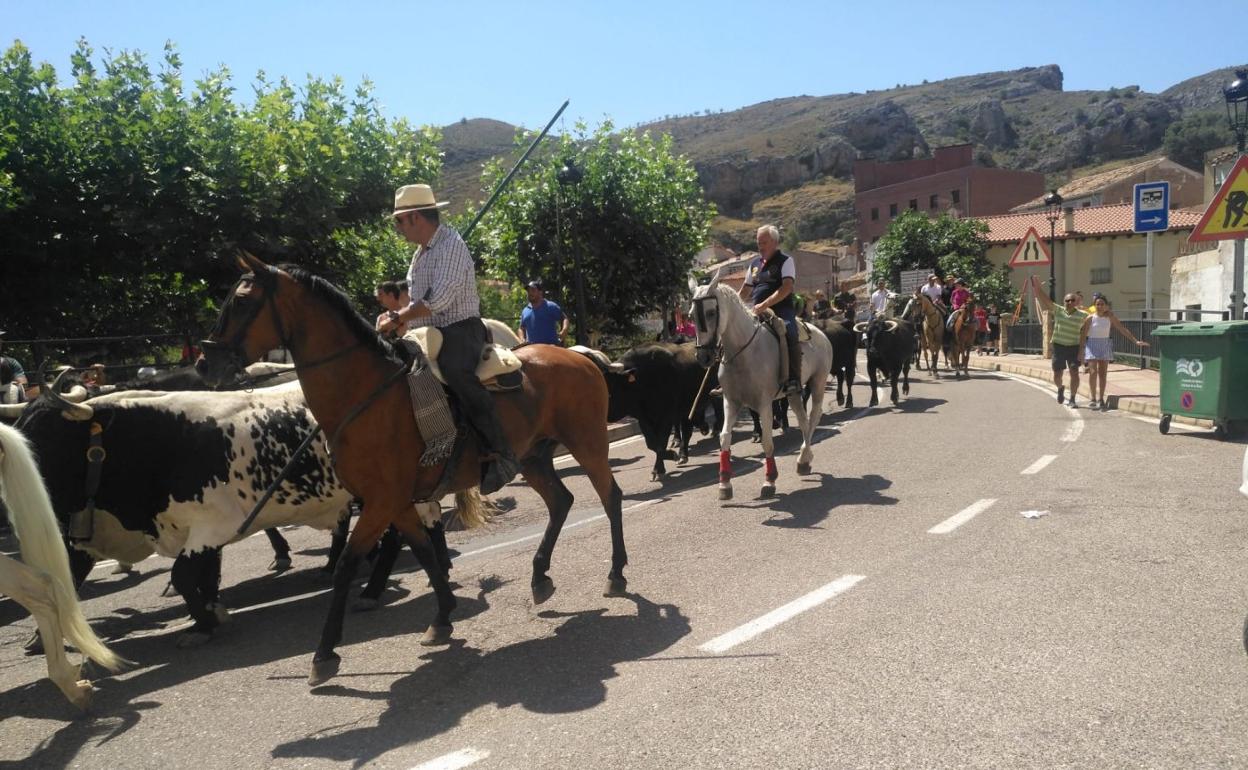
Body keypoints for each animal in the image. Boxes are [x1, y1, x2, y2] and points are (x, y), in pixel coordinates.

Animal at [599, 342, 723, 481]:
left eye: (609, 387)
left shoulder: (666, 417)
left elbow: (660, 443)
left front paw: (659, 469)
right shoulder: (644, 419)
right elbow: (652, 444)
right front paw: (671, 457)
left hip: (715, 395)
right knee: (687, 430)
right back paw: (684, 453)